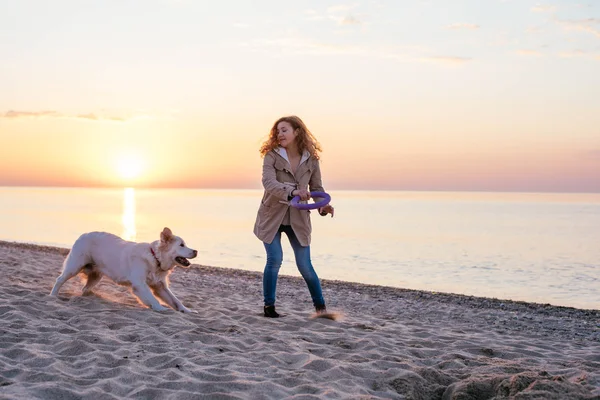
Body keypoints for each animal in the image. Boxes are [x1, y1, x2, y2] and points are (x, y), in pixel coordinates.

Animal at [51, 227, 197, 310]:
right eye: (181, 245)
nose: (196, 251)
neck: (156, 259)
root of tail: (84, 234)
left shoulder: (160, 286)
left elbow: (175, 301)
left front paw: (187, 310)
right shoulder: (140, 284)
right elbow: (152, 299)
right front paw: (160, 309)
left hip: (96, 275)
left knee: (85, 288)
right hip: (74, 266)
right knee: (59, 279)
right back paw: (53, 295)